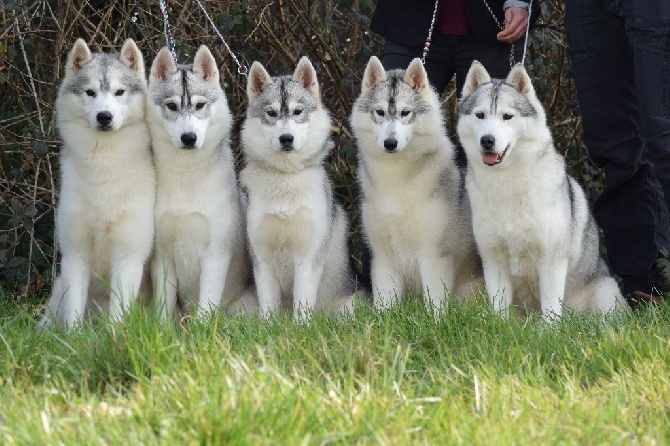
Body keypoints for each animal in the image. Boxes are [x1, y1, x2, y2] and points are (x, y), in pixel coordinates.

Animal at [41, 38, 157, 330]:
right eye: (90, 92)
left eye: (119, 92)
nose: (104, 116)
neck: (104, 169)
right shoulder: (75, 255)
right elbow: (73, 314)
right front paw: (73, 339)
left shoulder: (128, 256)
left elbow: (118, 315)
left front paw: (114, 335)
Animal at [148, 44, 256, 318]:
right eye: (172, 106)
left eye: (199, 105)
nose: (189, 137)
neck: (186, 176)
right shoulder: (162, 256)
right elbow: (162, 312)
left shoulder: (216, 254)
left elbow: (206, 310)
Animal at [242, 56, 356, 320]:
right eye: (271, 113)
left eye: (297, 111)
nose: (286, 139)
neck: (286, 178)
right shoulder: (262, 257)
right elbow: (268, 309)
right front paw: (269, 327)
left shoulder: (309, 255)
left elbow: (303, 303)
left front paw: (301, 326)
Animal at [352, 56, 484, 314]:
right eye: (379, 112)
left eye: (405, 113)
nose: (390, 143)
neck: (396, 180)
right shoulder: (382, 256)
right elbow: (385, 303)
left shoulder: (434, 254)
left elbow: (435, 303)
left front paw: (436, 321)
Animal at [460, 61, 628, 320]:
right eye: (480, 115)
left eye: (507, 116)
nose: (487, 140)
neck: (508, 183)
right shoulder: (493, 260)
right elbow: (499, 311)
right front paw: (500, 325)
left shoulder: (552, 261)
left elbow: (550, 311)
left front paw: (549, 329)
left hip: (605, 293)